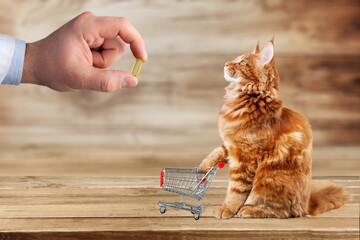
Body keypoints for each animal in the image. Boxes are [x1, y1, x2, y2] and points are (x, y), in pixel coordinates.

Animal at [200, 38, 348, 219]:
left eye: (241, 62)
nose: (226, 63)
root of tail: (307, 205)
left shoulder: (245, 158)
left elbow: (236, 190)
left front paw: (227, 209)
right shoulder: (231, 143)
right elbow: (218, 150)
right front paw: (203, 166)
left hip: (268, 176)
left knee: (280, 210)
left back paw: (249, 210)